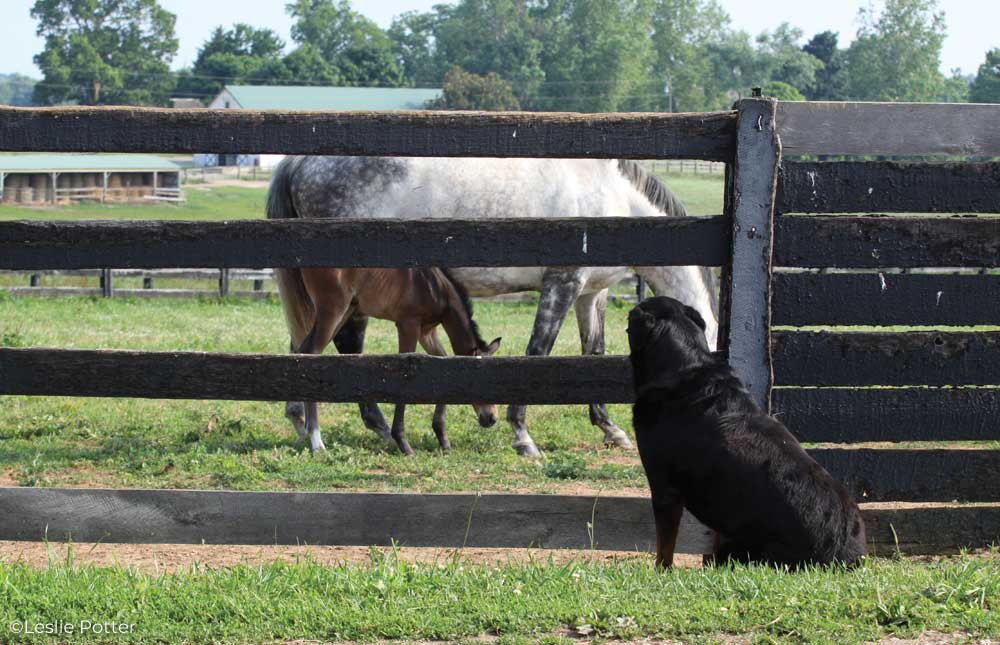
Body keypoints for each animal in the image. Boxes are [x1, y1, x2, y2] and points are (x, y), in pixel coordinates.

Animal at [276, 264, 500, 456]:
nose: (491, 418)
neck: (433, 285)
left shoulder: (427, 332)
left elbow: (443, 363)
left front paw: (442, 437)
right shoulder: (408, 325)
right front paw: (403, 443)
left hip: (345, 311)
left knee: (302, 351)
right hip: (332, 310)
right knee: (310, 353)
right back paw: (317, 441)